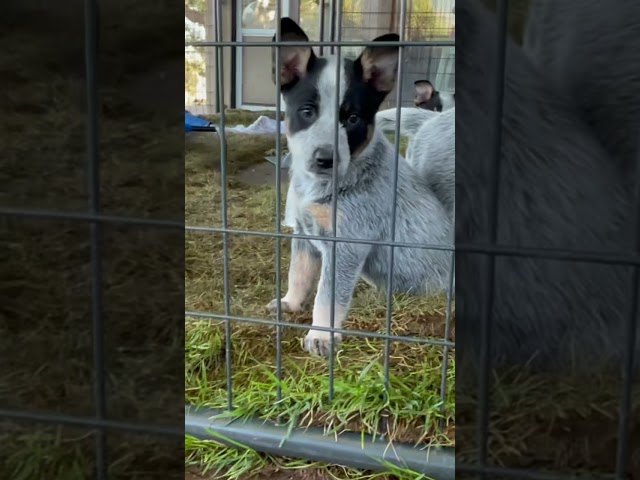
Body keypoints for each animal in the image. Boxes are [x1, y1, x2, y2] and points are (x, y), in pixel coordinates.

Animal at [264, 17, 456, 356]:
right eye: (307, 111)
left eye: (352, 118)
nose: (325, 159)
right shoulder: (303, 233)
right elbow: (298, 274)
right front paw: (289, 303)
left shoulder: (346, 246)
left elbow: (327, 297)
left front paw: (321, 336)